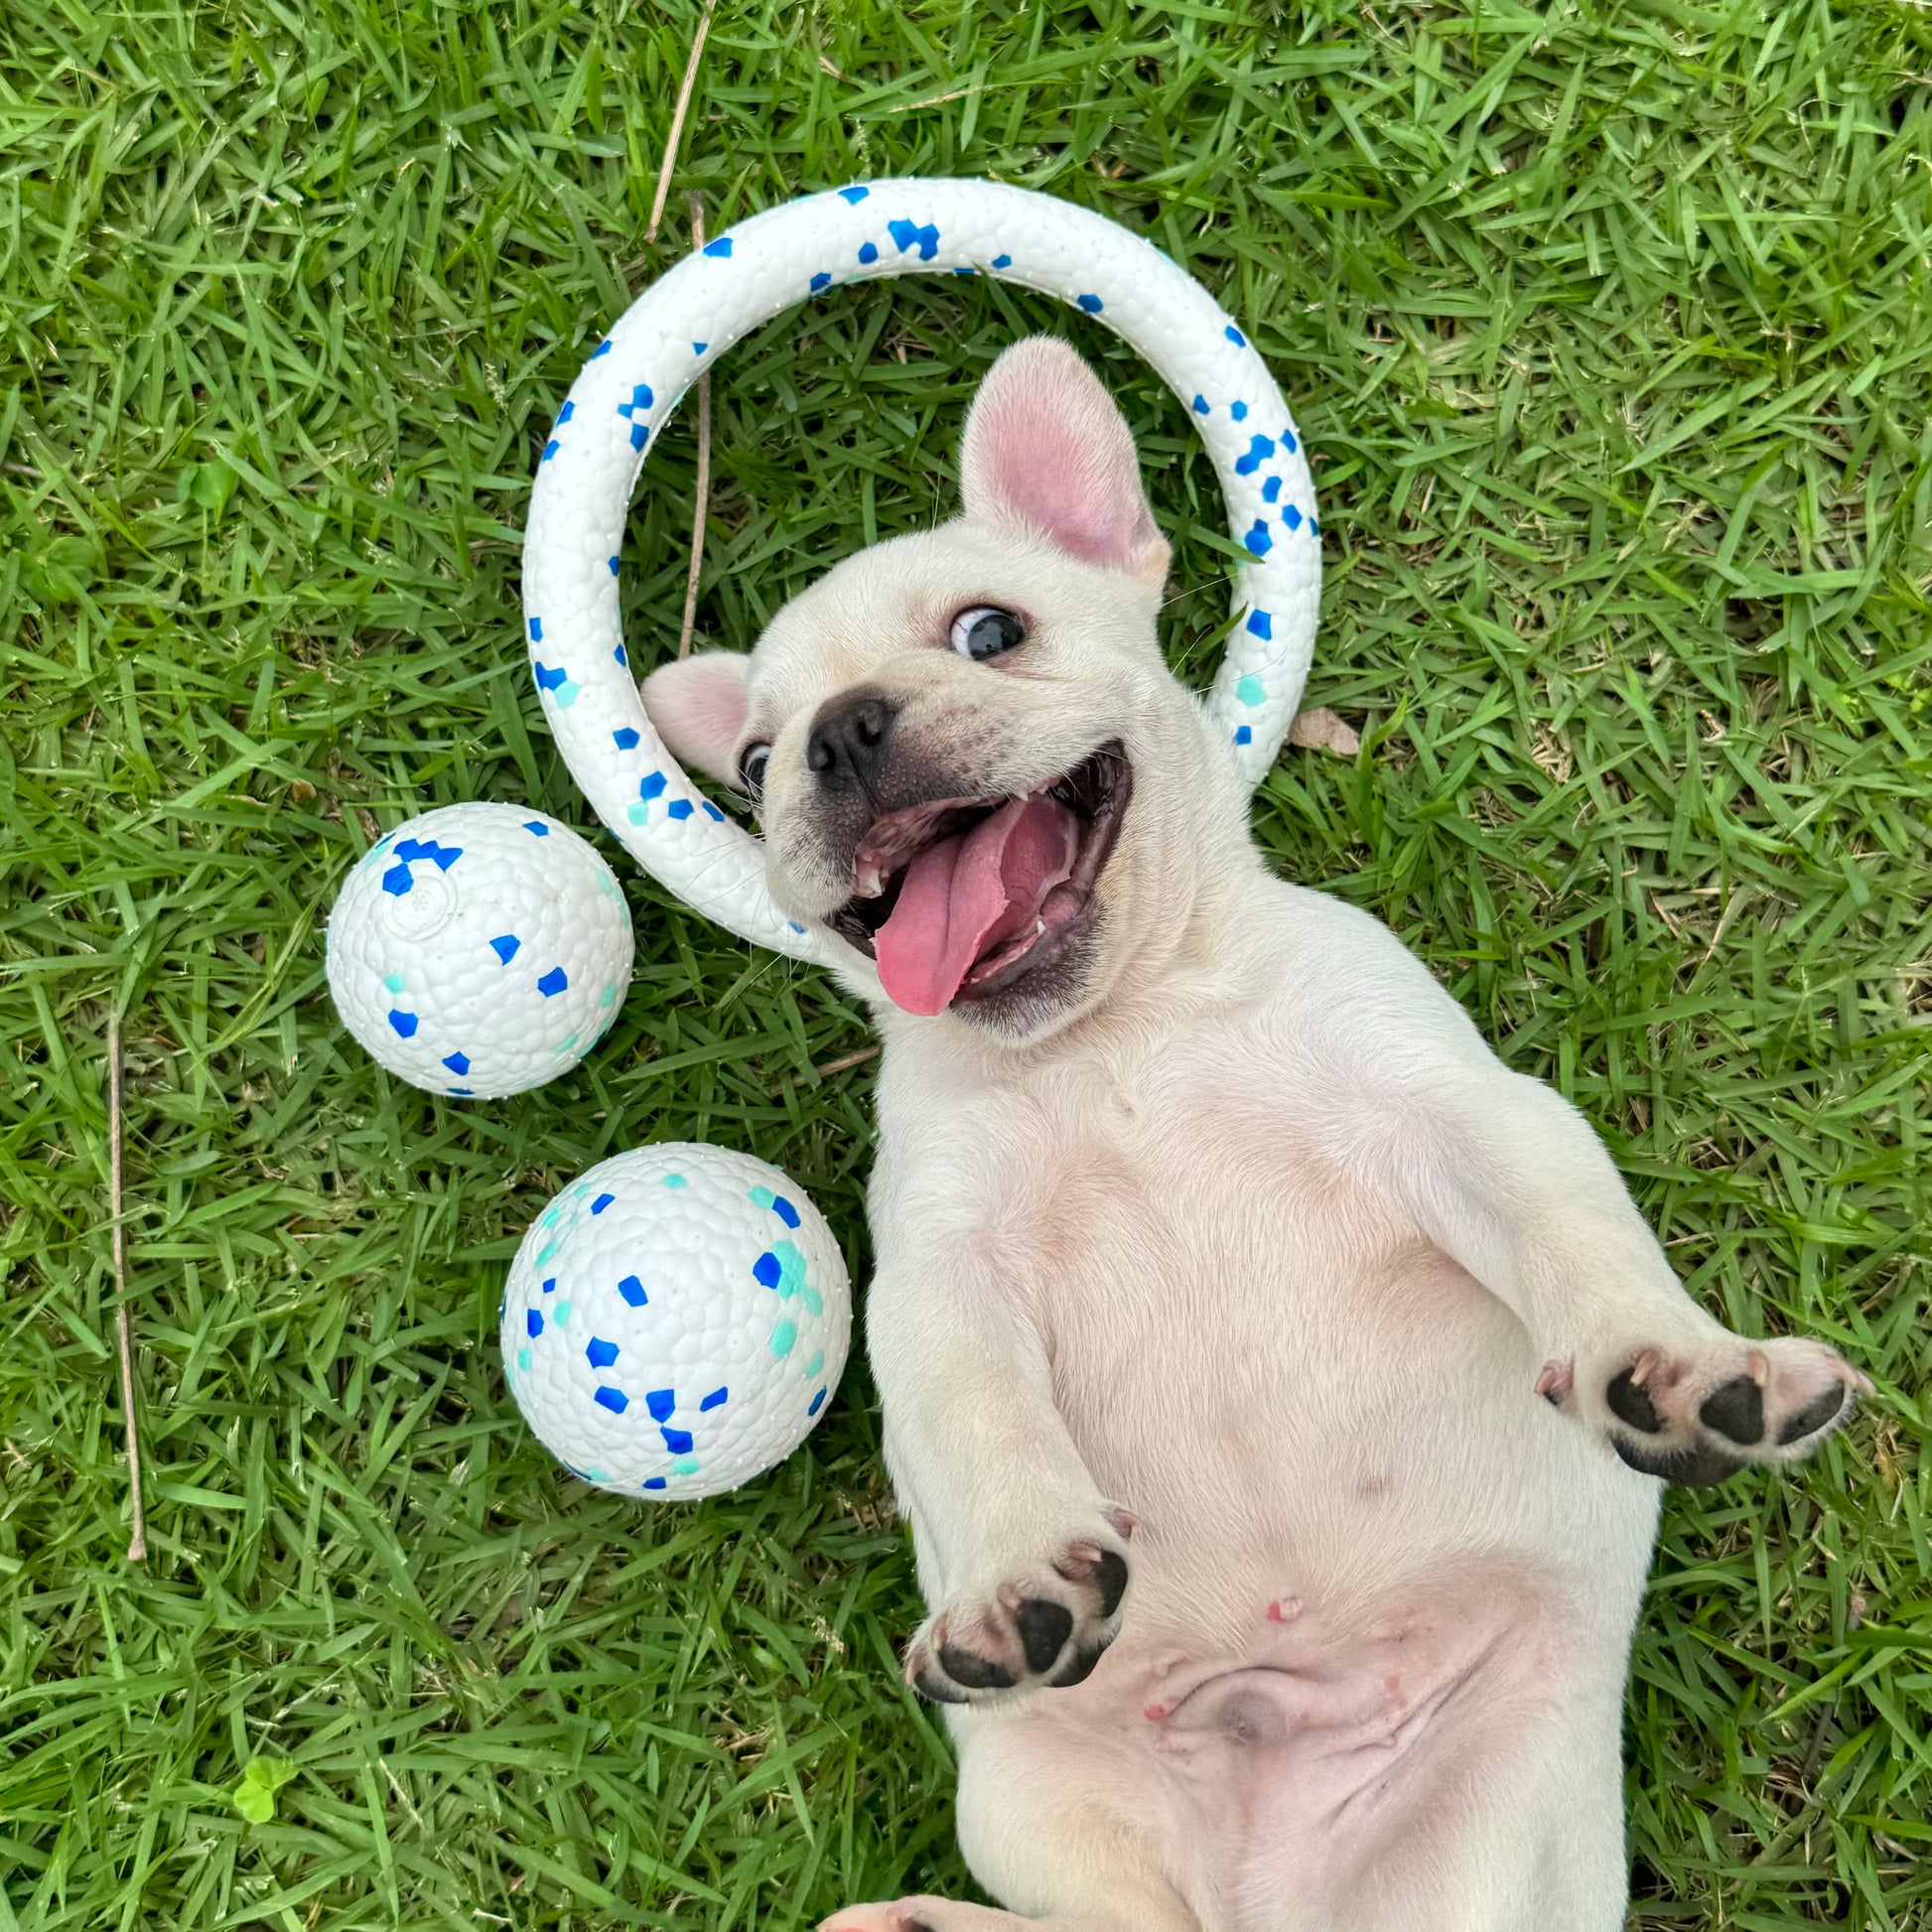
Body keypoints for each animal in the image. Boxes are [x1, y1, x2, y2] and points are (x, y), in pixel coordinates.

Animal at [641, 336, 1862, 1932]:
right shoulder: (943, 1274)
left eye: (988, 630)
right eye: (756, 759)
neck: (1119, 1031)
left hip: (1484, 1821)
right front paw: (1014, 1575)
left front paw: (1665, 1364)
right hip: (1032, 1794)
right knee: (1114, 1921)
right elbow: (973, 1411)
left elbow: (1571, 1234)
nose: (837, 736)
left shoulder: (1459, 1118)